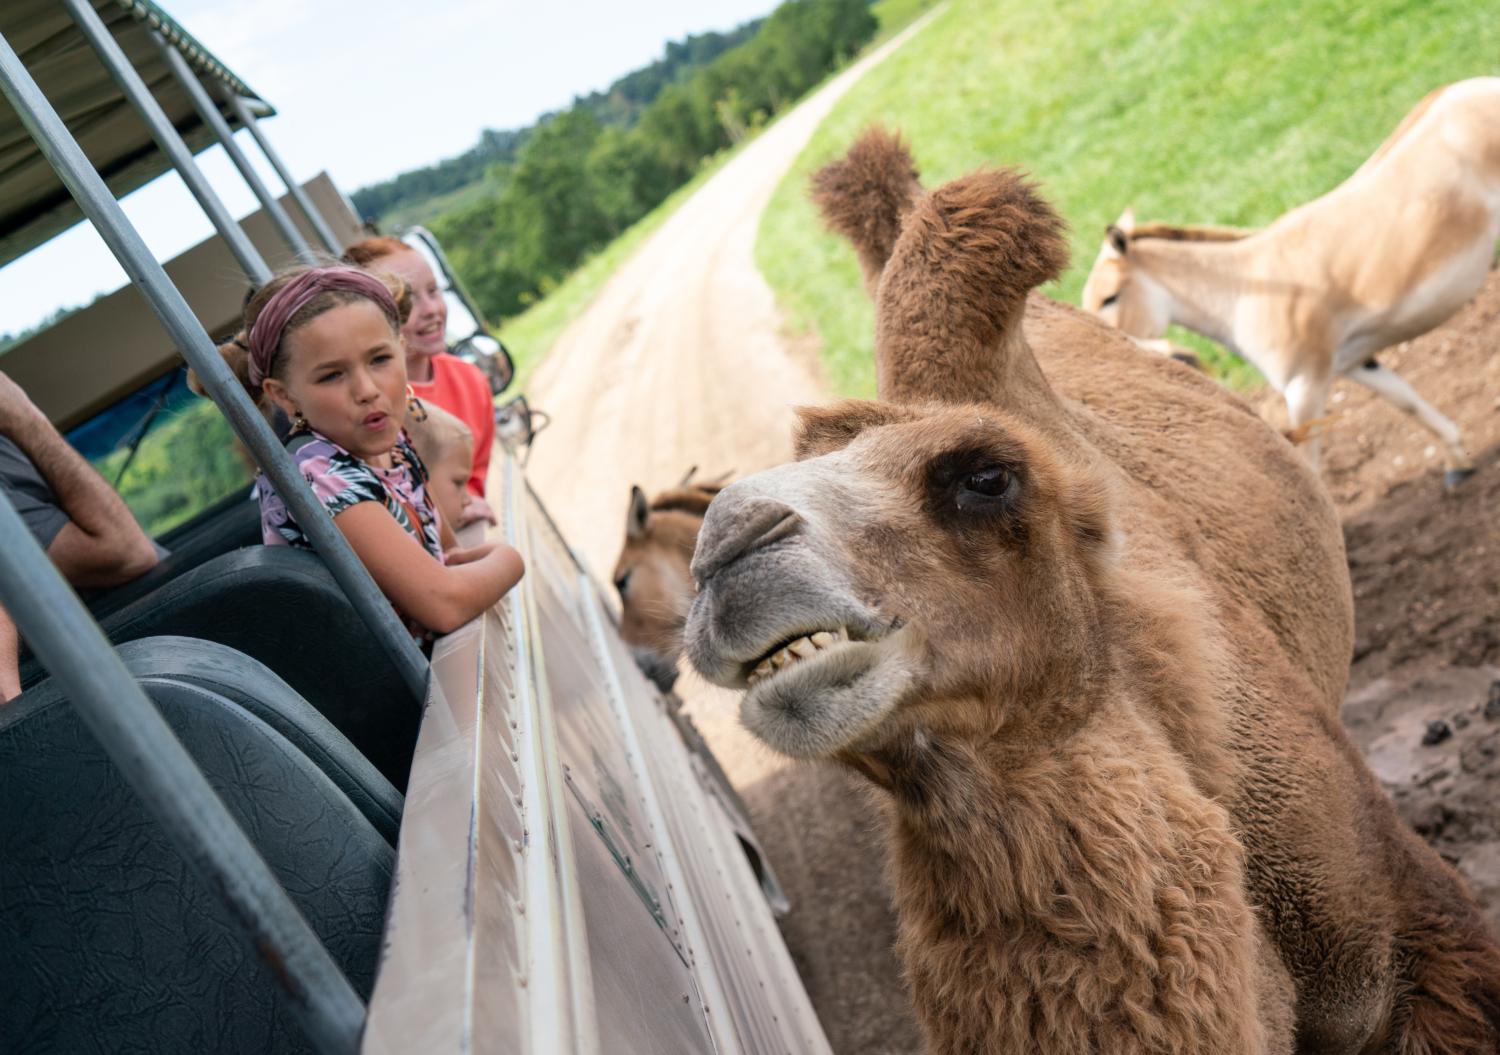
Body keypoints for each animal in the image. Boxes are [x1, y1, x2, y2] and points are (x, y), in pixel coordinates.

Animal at [1080, 77, 1500, 486]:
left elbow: (1309, 467)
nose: (1175, 357)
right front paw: (1458, 460)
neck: (1240, 291)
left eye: (1109, 298)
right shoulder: (1354, 363)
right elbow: (1407, 403)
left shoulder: (1304, 387)